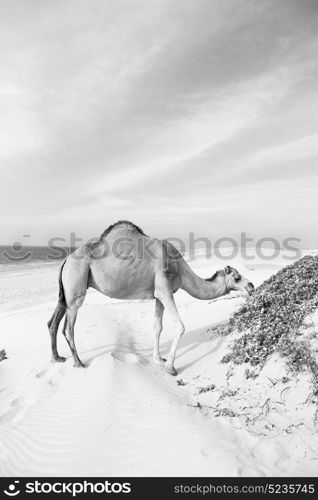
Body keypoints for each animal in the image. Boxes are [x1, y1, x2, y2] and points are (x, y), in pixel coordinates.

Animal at [47, 222, 256, 376]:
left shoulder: (158, 295)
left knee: (53, 322)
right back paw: (78, 362)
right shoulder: (165, 290)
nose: (251, 286)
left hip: (65, 291)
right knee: (69, 328)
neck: (180, 269)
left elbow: (157, 327)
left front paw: (158, 359)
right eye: (237, 277)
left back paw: (57, 358)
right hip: (76, 286)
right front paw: (170, 367)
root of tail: (66, 260)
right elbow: (180, 326)